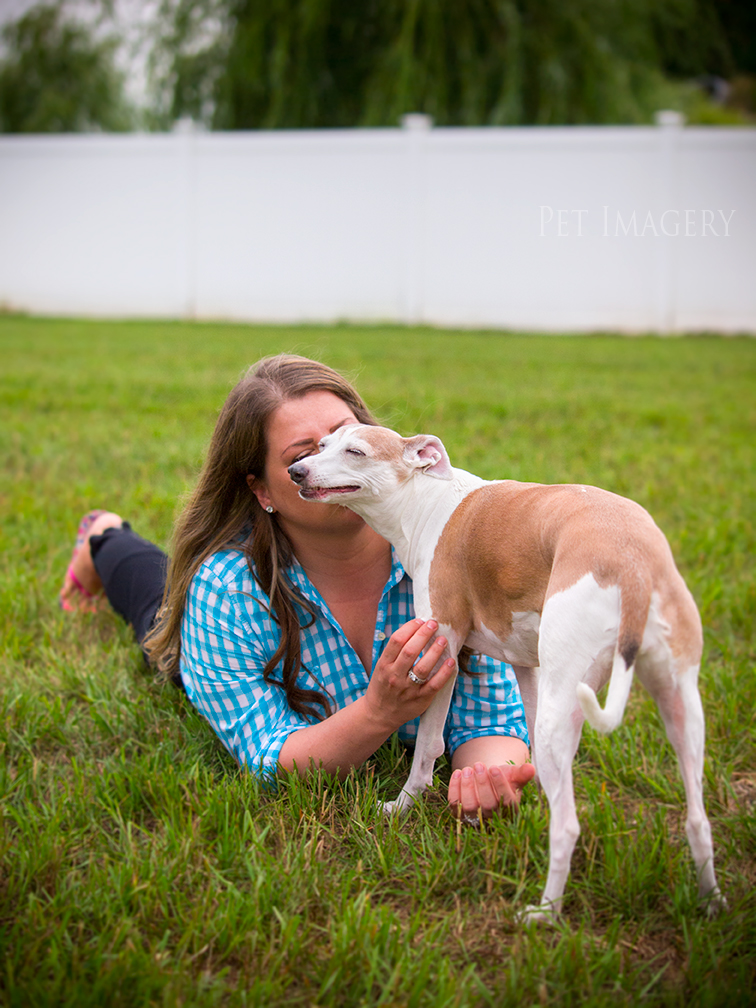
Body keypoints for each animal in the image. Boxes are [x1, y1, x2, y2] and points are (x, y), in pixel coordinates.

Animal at [288, 424, 724, 920]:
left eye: (356, 452)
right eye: (322, 445)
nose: (296, 471)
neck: (424, 500)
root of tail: (633, 568)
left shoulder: (441, 647)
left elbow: (428, 745)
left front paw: (403, 806)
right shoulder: (525, 666)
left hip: (568, 698)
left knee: (568, 828)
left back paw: (545, 913)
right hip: (678, 707)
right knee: (697, 819)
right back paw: (711, 902)